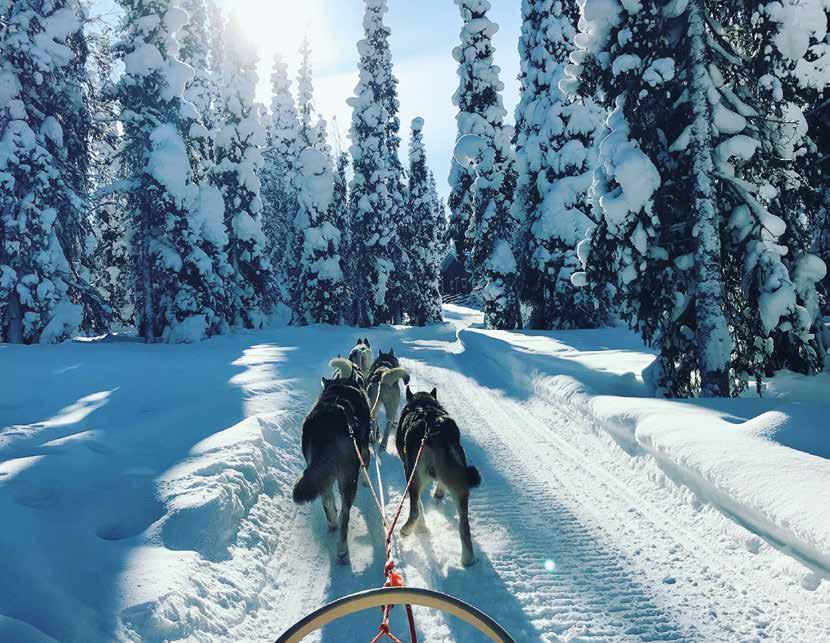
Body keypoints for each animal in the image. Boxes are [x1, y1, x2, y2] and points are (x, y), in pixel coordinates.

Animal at [396, 387, 481, 567]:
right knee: (464, 526)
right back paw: (468, 559)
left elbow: (419, 506)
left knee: (415, 510)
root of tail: (437, 431)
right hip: (461, 489)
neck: (423, 403)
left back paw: (407, 530)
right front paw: (439, 493)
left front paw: (421, 529)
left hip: (413, 477)